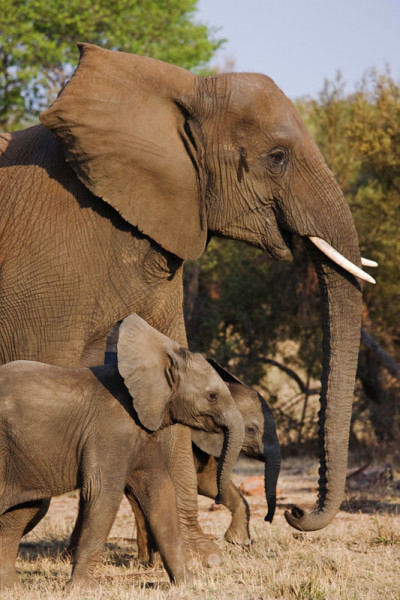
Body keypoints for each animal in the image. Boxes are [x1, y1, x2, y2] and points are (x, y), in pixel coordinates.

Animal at [0, 43, 376, 556]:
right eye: (277, 157)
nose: (296, 512)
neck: (185, 89)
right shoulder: (48, 262)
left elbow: (170, 365)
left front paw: (198, 553)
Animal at [0, 314, 244, 592]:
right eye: (212, 396)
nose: (218, 501)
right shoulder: (111, 429)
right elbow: (102, 494)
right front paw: (82, 589)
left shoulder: (143, 430)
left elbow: (160, 493)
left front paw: (187, 584)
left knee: (21, 513)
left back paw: (12, 589)